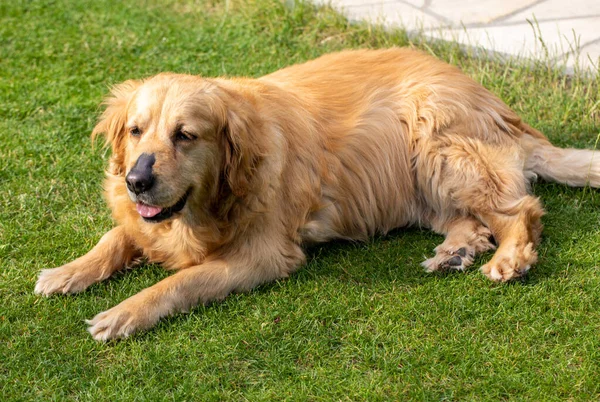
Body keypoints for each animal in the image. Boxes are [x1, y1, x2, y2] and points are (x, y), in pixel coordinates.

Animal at [34, 48, 600, 340]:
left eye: (185, 135)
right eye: (135, 131)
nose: (137, 180)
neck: (211, 201)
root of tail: (494, 102)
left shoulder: (263, 255)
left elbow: (180, 281)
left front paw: (124, 313)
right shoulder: (144, 217)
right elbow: (117, 235)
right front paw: (68, 272)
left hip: (437, 142)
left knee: (520, 209)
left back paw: (510, 258)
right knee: (471, 220)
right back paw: (455, 251)